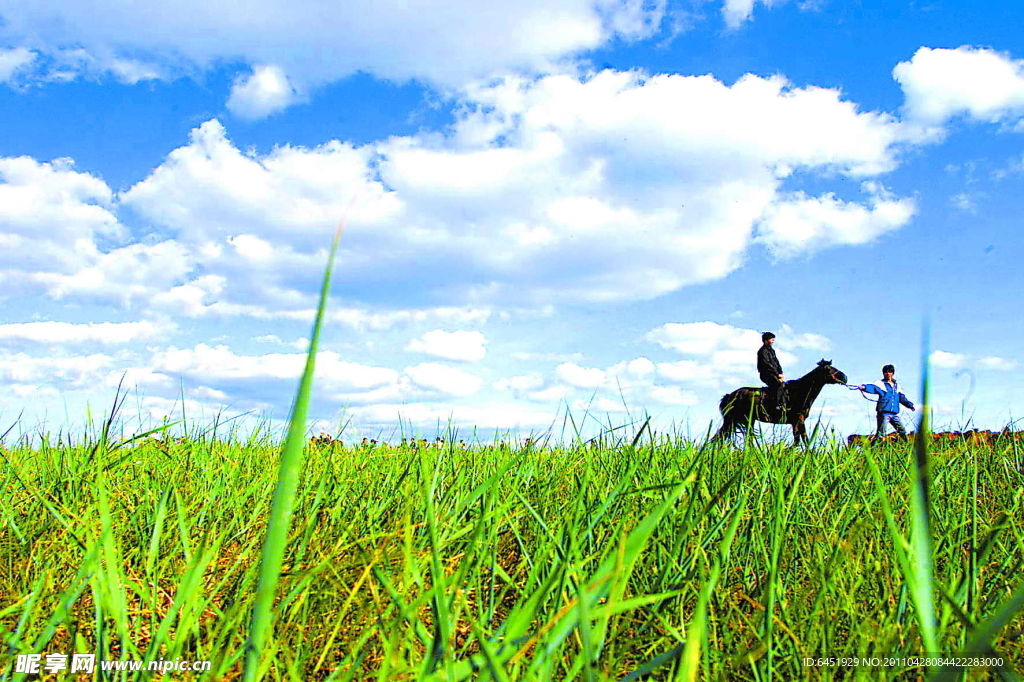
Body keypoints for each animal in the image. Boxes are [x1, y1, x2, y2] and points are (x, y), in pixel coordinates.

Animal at [712, 356, 847, 446]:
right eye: (829, 369)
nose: (845, 377)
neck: (800, 392)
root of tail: (729, 395)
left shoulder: (795, 423)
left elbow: (797, 441)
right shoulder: (799, 420)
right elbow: (804, 441)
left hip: (744, 421)